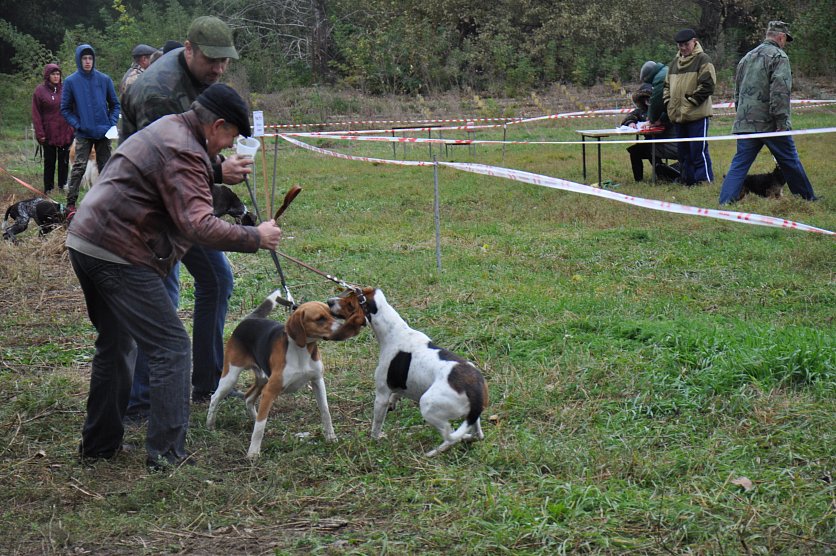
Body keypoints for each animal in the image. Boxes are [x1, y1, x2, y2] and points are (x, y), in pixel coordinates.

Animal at [206, 290, 363, 458]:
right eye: (319, 319)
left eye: (332, 314)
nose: (344, 329)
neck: (302, 349)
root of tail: (250, 319)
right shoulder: (270, 391)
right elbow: (260, 427)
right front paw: (253, 453)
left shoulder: (317, 381)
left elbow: (325, 412)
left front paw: (331, 437)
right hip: (231, 376)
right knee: (215, 397)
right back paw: (210, 425)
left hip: (262, 379)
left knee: (248, 397)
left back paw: (253, 417)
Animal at [328, 287, 488, 457]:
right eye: (348, 292)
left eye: (350, 304)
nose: (329, 302)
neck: (394, 332)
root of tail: (474, 391)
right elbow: (397, 393)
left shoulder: (381, 395)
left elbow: (376, 425)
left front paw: (374, 440)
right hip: (471, 416)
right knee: (477, 435)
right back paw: (467, 438)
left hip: (427, 406)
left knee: (450, 438)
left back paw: (432, 452)